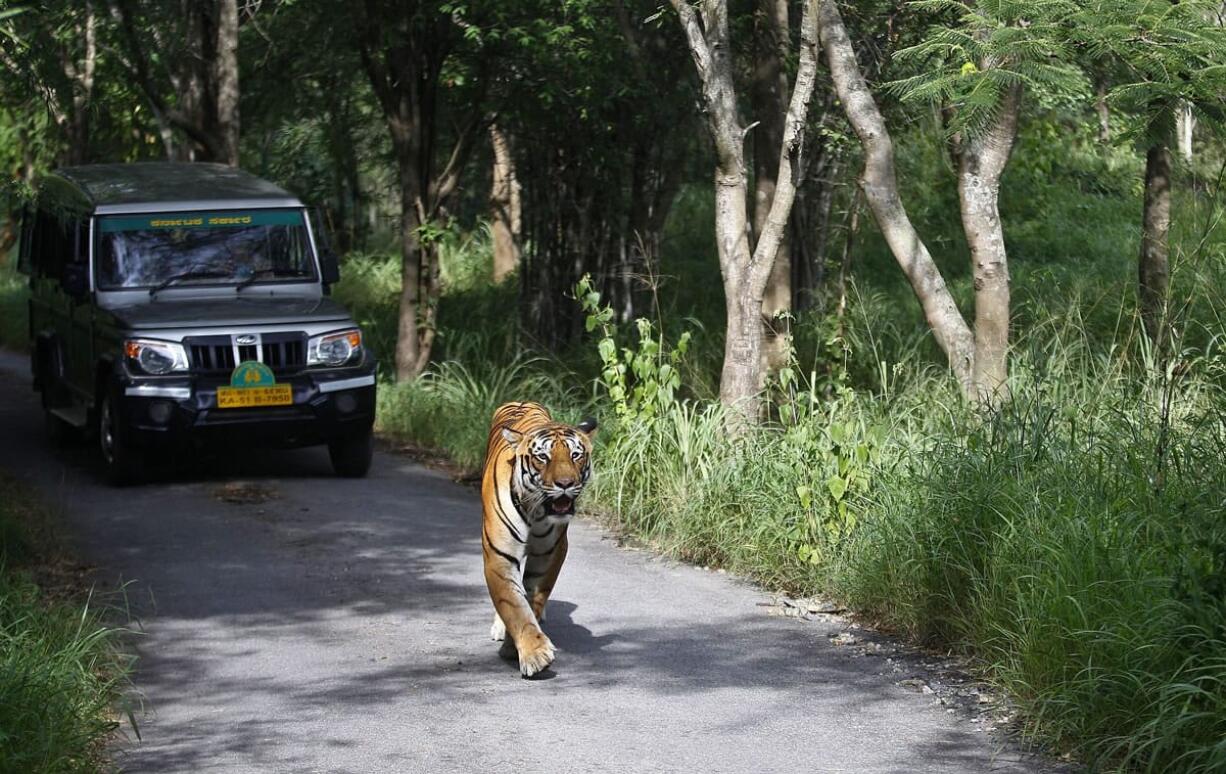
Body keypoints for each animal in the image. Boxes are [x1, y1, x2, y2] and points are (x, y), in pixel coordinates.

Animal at [480, 402, 595, 677]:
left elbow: (532, 599)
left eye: (576, 455)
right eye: (543, 457)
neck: (537, 511)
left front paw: (518, 647)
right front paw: (534, 654)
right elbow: (513, 605)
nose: (566, 484)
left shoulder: (548, 553)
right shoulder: (498, 556)